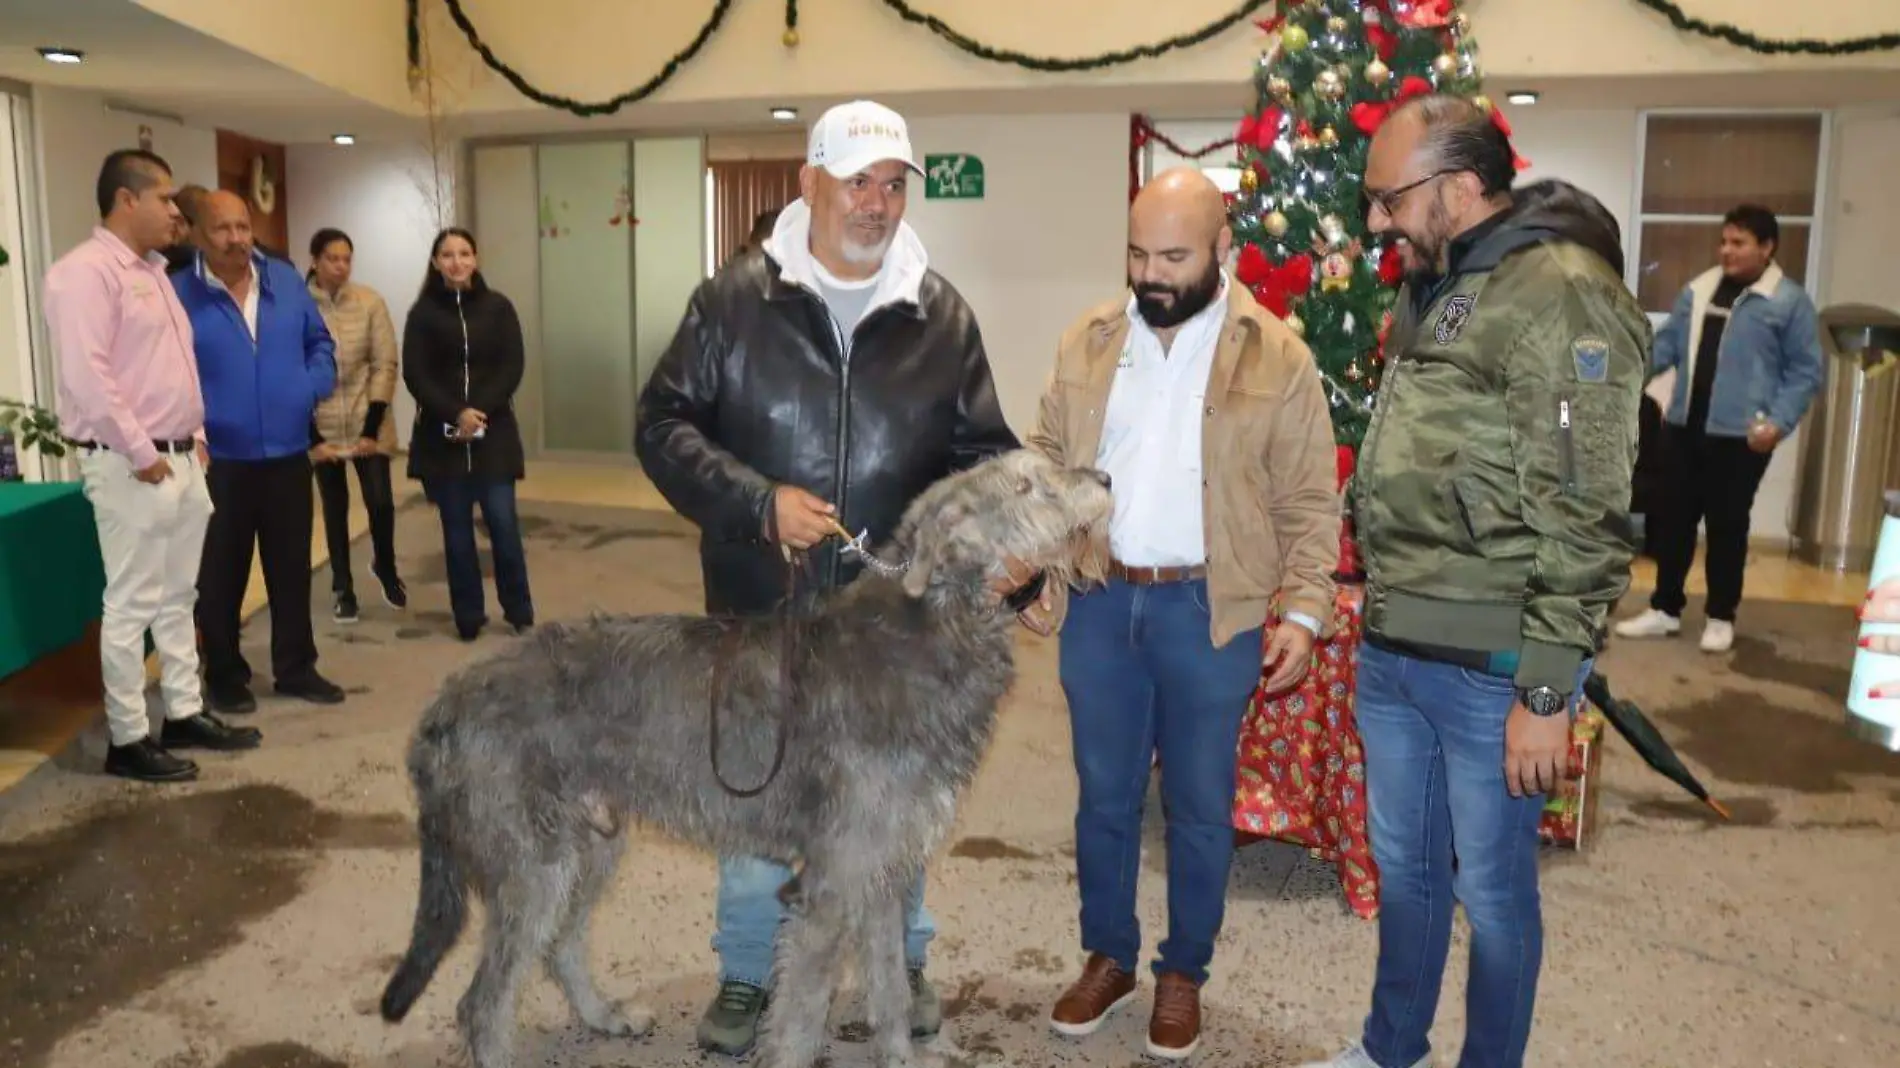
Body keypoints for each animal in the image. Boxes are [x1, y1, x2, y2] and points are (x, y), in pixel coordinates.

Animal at [376, 448, 1109, 1064]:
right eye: (1026, 485)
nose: (1103, 478)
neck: (928, 631)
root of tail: (442, 708)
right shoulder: (831, 884)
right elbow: (800, 1019)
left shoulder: (882, 871)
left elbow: (891, 990)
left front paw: (901, 1055)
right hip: (534, 864)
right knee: (483, 1002)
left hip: (591, 844)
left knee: (559, 945)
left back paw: (606, 1016)